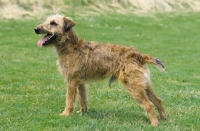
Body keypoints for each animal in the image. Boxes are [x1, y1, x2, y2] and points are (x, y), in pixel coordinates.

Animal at [34, 14, 167, 126]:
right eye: (46, 21)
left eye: (53, 23)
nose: (35, 29)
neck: (71, 46)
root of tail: (139, 55)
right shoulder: (80, 82)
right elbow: (83, 98)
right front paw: (83, 112)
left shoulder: (71, 81)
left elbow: (70, 100)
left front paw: (66, 114)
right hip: (144, 85)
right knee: (157, 100)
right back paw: (163, 118)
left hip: (133, 86)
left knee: (149, 104)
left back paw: (154, 123)